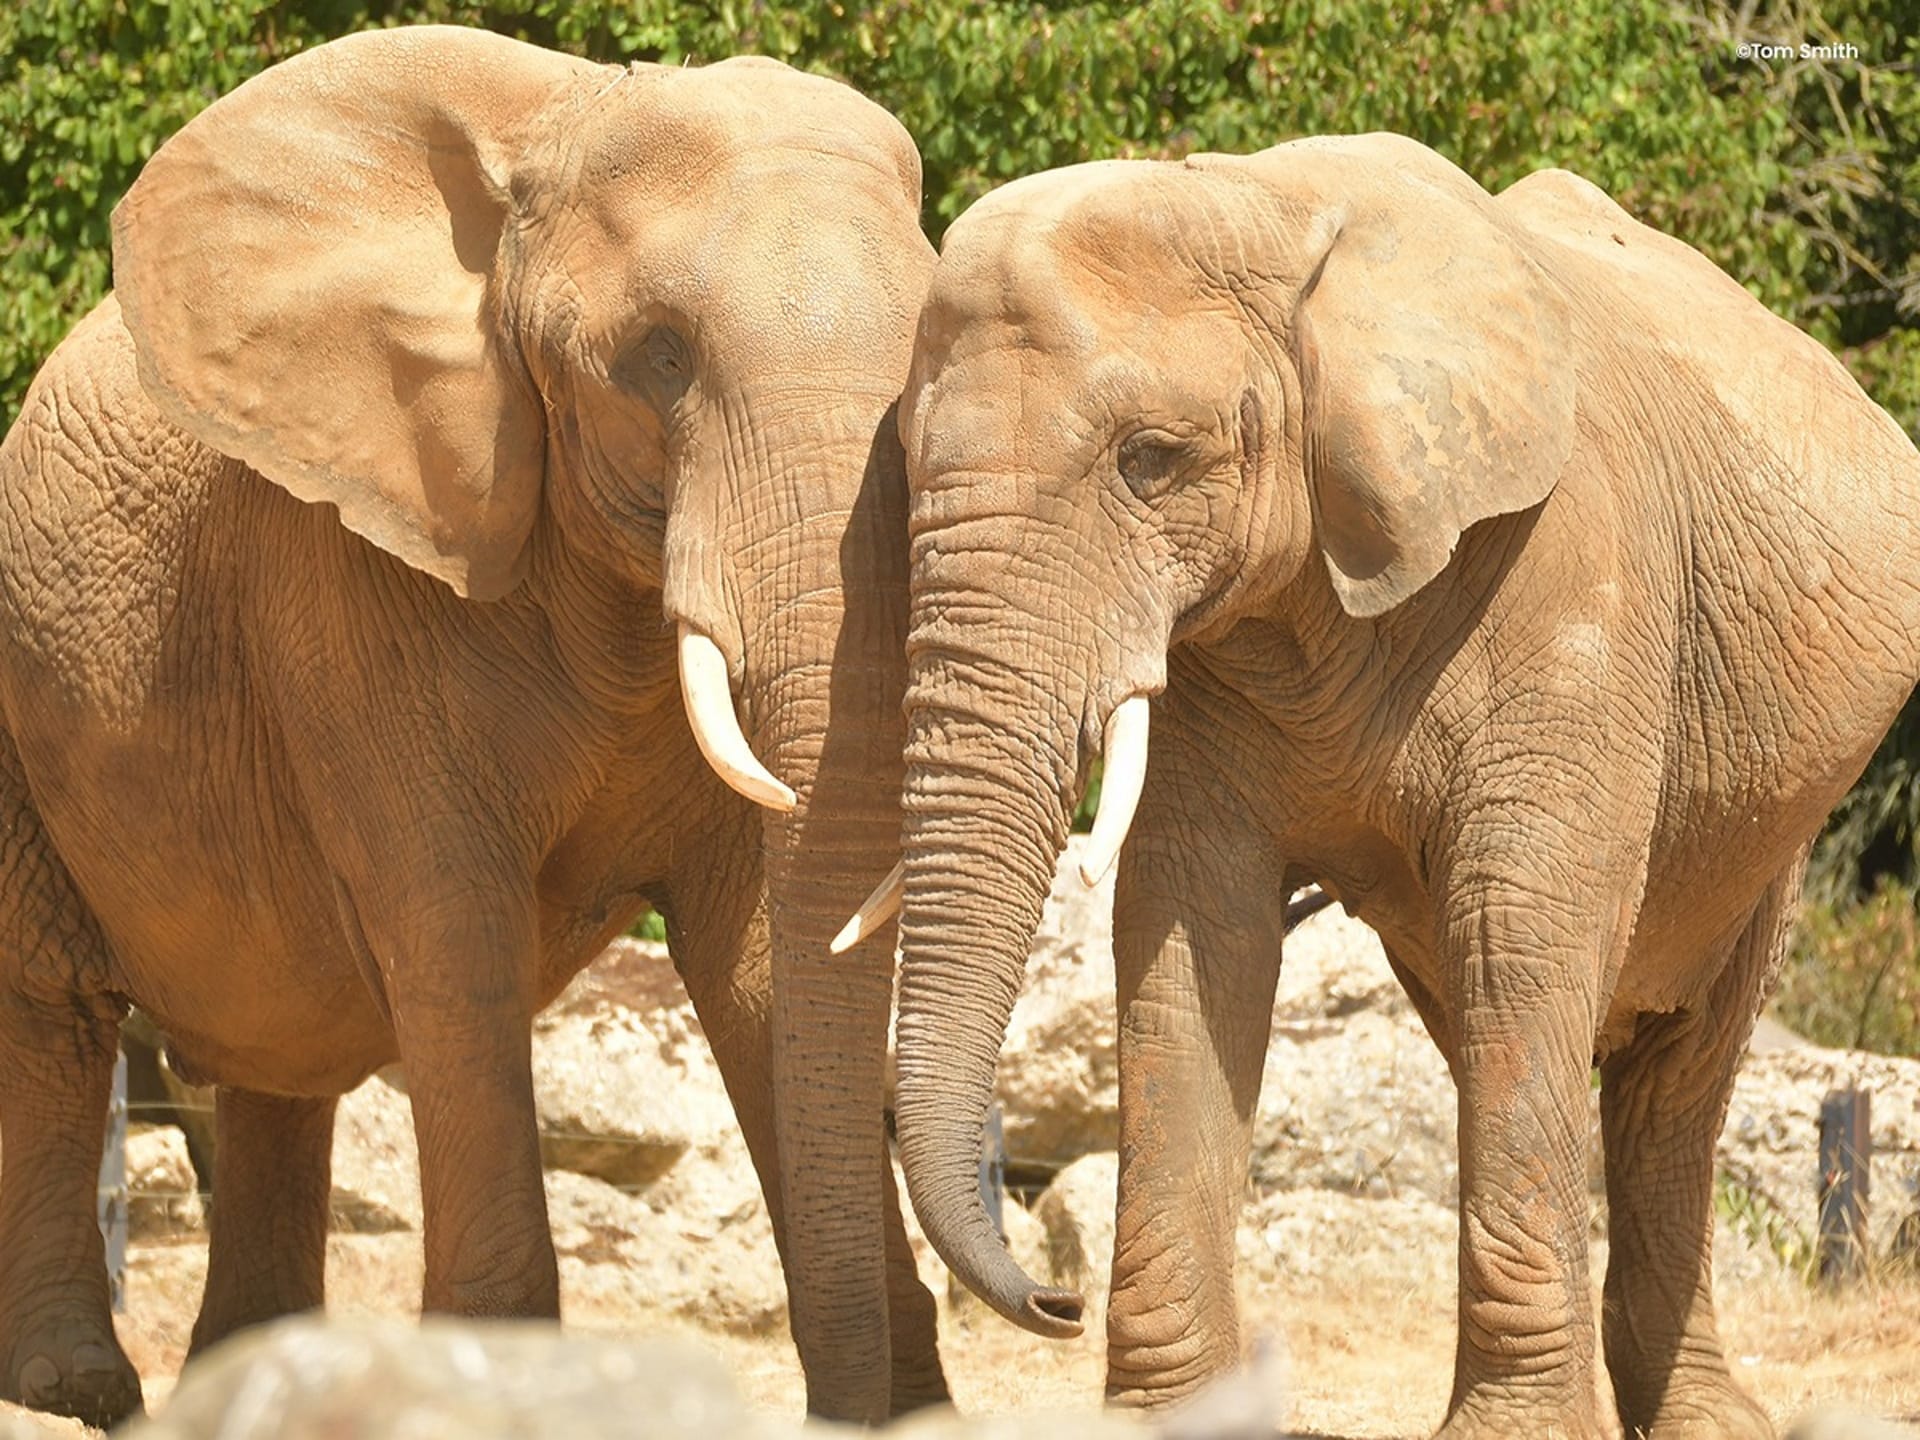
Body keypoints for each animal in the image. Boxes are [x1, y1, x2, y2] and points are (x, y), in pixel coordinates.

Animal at [0, 22, 936, 1436]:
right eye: (661, 357)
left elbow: (758, 959)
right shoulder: (349, 584)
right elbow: (457, 940)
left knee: (281, 1061)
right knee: (51, 1010)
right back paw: (75, 1389)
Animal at [852, 129, 1920, 1436]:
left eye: (1151, 463)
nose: (1050, 1302)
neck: (1258, 200)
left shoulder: (1577, 577)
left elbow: (1521, 925)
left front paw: (1517, 1435)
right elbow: (1188, 927)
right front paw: (1173, 1417)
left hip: (1764, 820)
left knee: (1670, 1072)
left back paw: (1706, 1421)